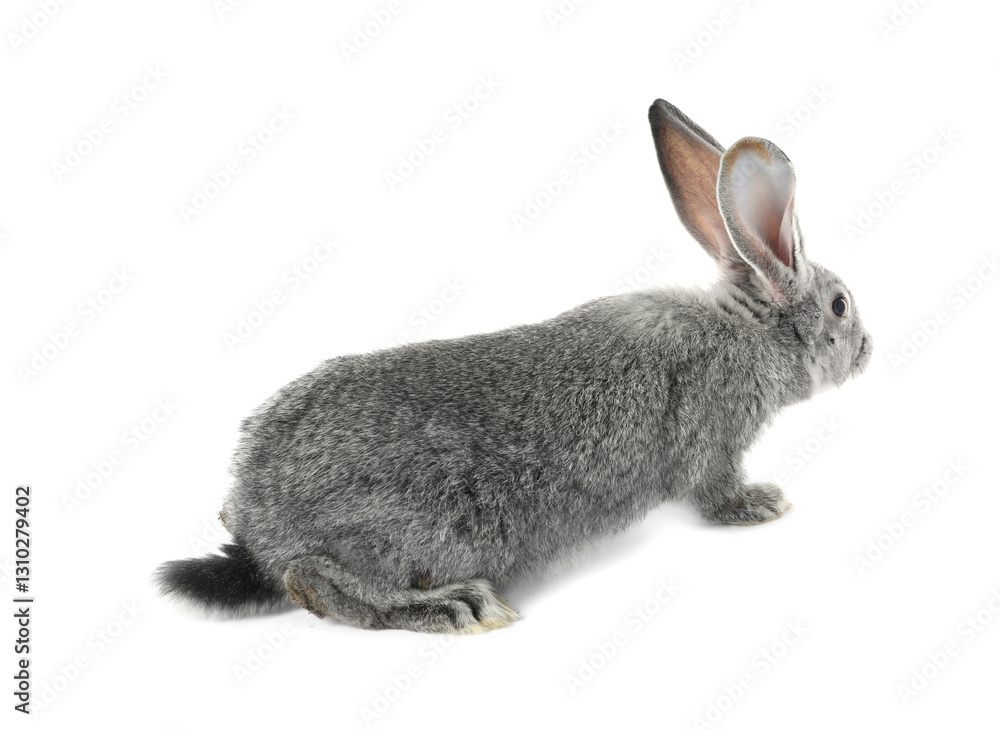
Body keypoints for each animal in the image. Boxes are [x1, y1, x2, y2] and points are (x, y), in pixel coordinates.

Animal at [154, 99, 872, 634]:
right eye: (840, 305)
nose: (868, 348)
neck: (746, 331)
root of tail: (261, 522)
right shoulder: (713, 438)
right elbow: (715, 490)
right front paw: (764, 503)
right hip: (415, 530)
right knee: (314, 580)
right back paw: (455, 605)